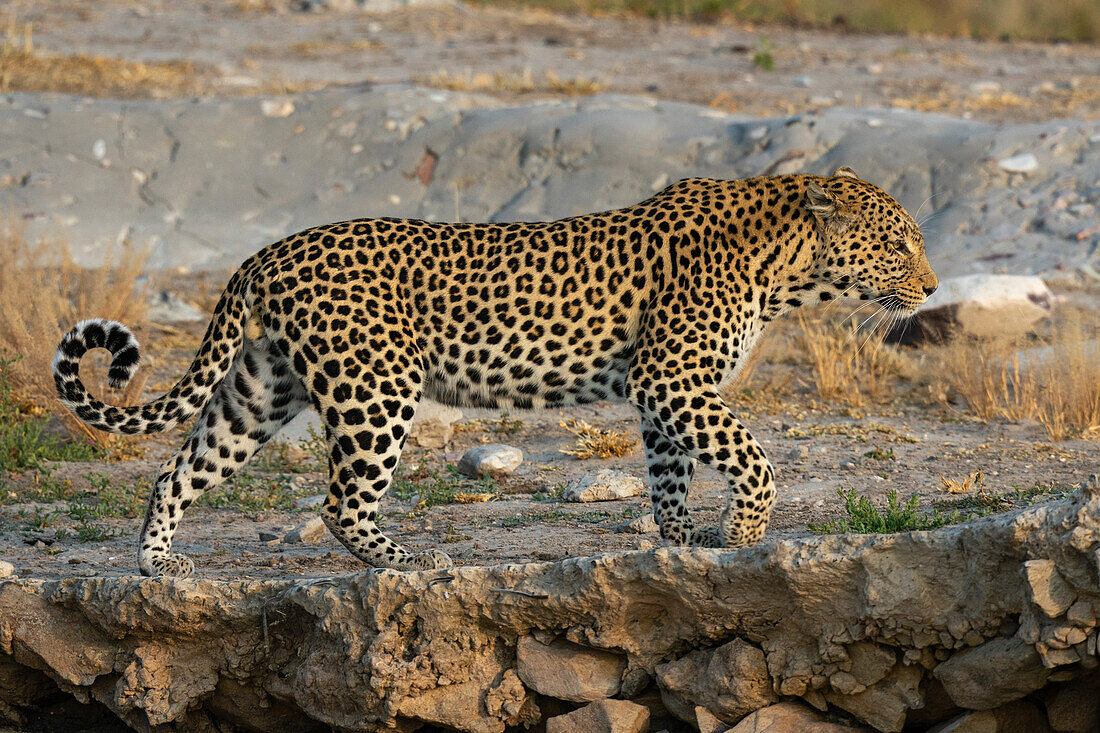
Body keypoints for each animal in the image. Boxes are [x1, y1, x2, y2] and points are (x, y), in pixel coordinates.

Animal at [55, 167, 937, 576]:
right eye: (899, 244)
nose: (932, 287)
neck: (785, 265)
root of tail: (265, 251)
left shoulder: (663, 391)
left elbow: (670, 475)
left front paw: (686, 540)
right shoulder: (672, 379)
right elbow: (754, 458)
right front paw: (746, 533)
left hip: (260, 387)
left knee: (177, 468)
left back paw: (158, 563)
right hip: (376, 387)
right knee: (340, 500)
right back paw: (413, 562)